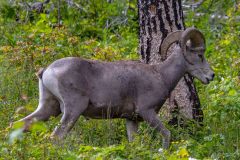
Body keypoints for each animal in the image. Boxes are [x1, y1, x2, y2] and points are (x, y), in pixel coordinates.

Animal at [17, 27, 215, 149]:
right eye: (200, 54)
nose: (211, 76)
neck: (161, 75)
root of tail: (46, 71)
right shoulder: (147, 112)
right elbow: (167, 134)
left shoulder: (131, 120)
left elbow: (134, 143)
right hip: (72, 110)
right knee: (57, 137)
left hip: (49, 108)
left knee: (21, 124)